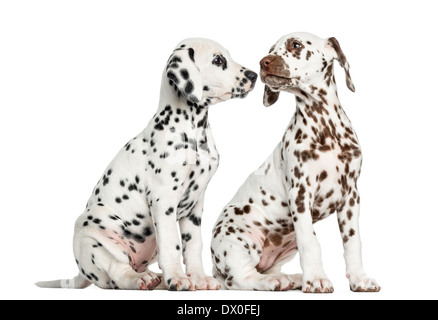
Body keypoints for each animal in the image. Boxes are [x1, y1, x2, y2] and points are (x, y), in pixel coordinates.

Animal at [37, 37, 258, 290]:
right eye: (218, 60)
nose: (254, 75)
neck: (193, 132)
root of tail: (81, 274)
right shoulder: (164, 201)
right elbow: (172, 245)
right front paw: (178, 279)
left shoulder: (195, 205)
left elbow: (193, 245)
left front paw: (198, 278)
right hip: (90, 232)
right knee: (118, 272)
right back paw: (141, 280)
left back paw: (155, 278)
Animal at [211, 31, 380, 292]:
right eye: (271, 49)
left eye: (296, 45)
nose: (263, 62)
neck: (325, 127)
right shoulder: (300, 194)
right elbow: (311, 243)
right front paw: (317, 279)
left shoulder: (351, 196)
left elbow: (353, 242)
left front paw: (359, 278)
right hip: (239, 240)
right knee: (241, 278)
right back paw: (274, 282)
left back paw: (293, 279)